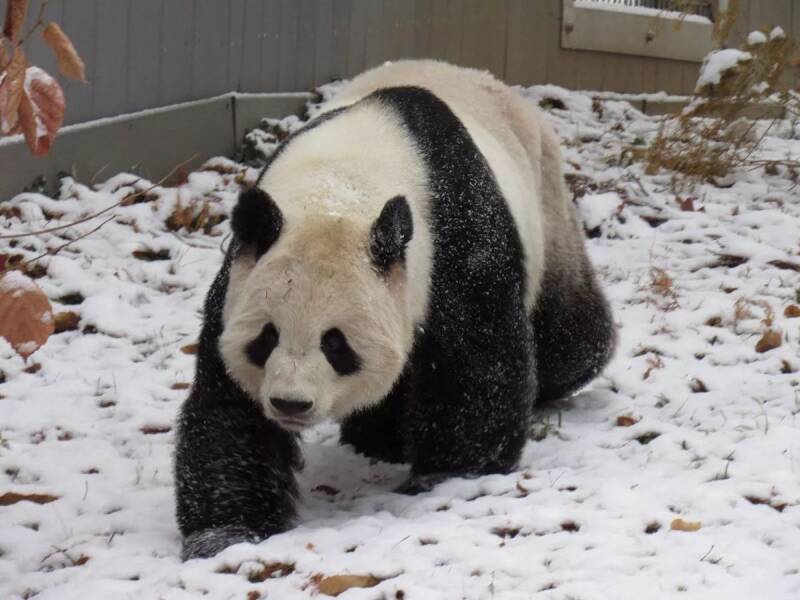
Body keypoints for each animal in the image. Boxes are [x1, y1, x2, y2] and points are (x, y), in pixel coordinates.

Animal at [173, 59, 612, 556]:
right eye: (266, 337)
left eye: (336, 344)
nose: (291, 403)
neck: (341, 186)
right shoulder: (242, 274)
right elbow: (229, 403)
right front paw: (226, 533)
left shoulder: (457, 235)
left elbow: (477, 361)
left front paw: (449, 475)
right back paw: (380, 438)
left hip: (547, 208)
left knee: (569, 334)